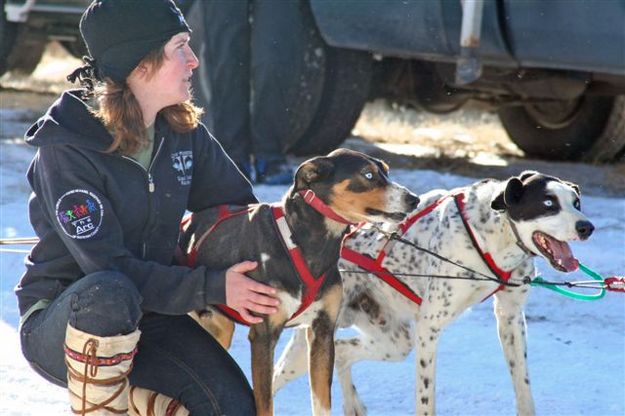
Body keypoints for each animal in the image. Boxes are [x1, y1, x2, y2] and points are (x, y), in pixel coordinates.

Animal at [180, 148, 416, 414]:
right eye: (368, 174)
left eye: (386, 171)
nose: (414, 199)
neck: (300, 241)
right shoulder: (263, 336)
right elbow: (265, 404)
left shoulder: (322, 333)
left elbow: (322, 402)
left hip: (221, 328)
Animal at [274, 171, 596, 414]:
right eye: (548, 203)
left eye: (577, 203)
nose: (587, 227)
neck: (491, 235)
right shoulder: (429, 327)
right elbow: (426, 398)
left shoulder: (511, 318)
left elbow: (522, 385)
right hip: (314, 346)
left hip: (395, 342)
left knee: (341, 352)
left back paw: (354, 405)